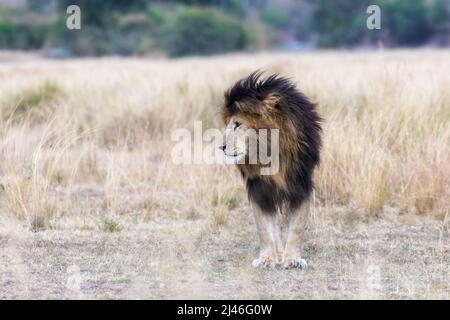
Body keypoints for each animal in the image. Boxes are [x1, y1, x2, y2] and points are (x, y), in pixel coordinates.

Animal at [220, 71, 322, 268]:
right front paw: (267, 259)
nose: (221, 147)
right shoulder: (259, 189)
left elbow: (296, 227)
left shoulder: (301, 185)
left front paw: (292, 259)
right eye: (229, 124)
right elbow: (264, 229)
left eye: (237, 124)